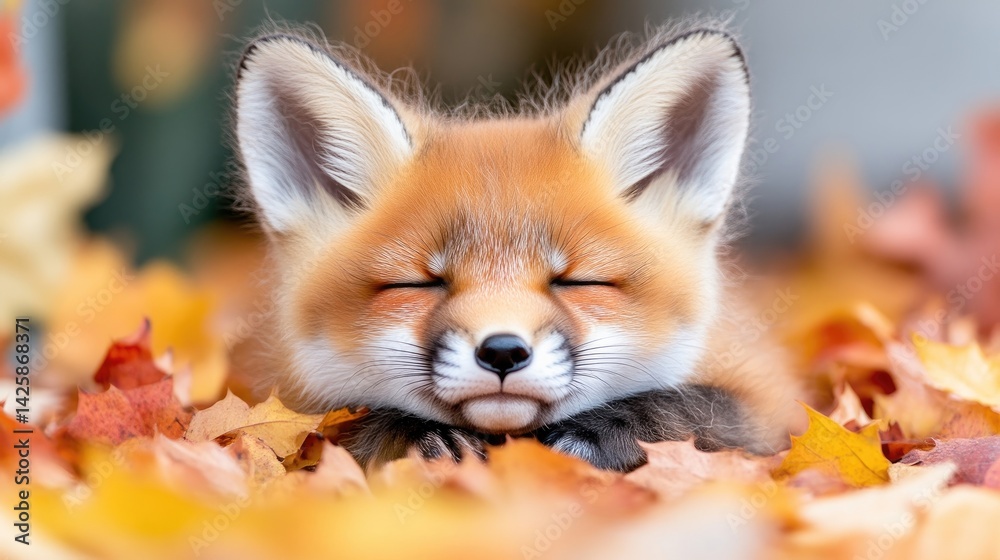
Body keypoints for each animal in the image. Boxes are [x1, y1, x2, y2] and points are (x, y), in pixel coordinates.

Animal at [233, 21, 806, 472]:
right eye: (416, 284)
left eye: (578, 281)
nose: (503, 351)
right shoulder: (284, 397)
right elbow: (345, 424)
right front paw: (417, 436)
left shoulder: (772, 401)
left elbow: (688, 408)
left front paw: (600, 432)